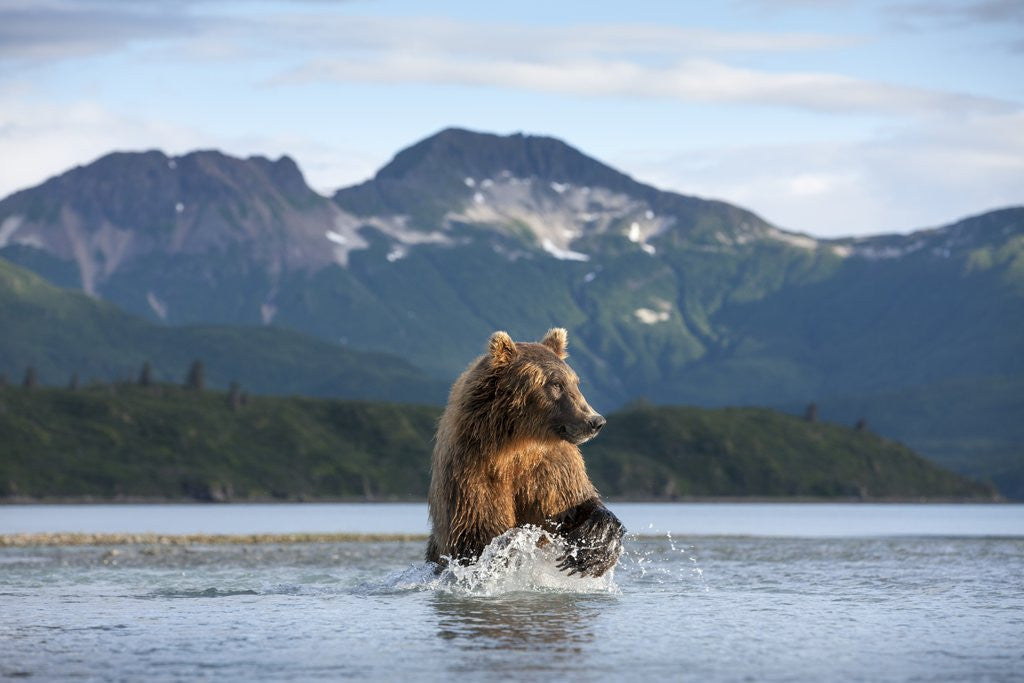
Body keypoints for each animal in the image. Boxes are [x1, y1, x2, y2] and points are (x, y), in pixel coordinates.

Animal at [426, 327, 625, 577]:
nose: (595, 421)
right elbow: (478, 530)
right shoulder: (471, 472)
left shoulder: (551, 469)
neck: (517, 446)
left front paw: (595, 545)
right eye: (556, 384)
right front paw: (513, 543)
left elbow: (574, 502)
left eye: (575, 382)